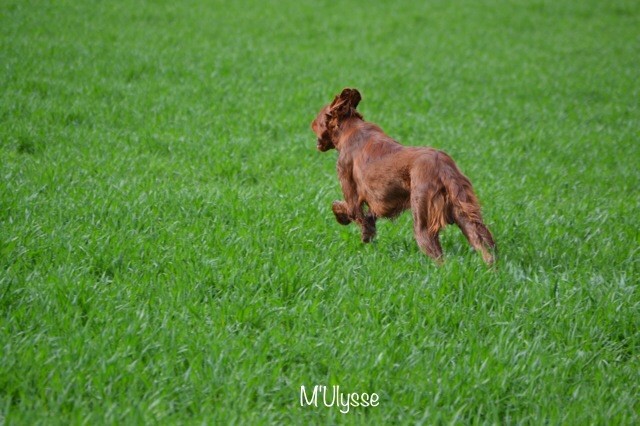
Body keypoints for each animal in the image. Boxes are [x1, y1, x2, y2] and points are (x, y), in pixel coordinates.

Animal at [312, 88, 498, 264]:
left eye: (317, 120)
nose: (311, 123)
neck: (350, 128)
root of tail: (442, 166)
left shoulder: (348, 185)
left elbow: (339, 206)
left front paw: (359, 230)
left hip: (422, 219)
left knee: (438, 256)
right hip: (464, 214)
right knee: (484, 247)